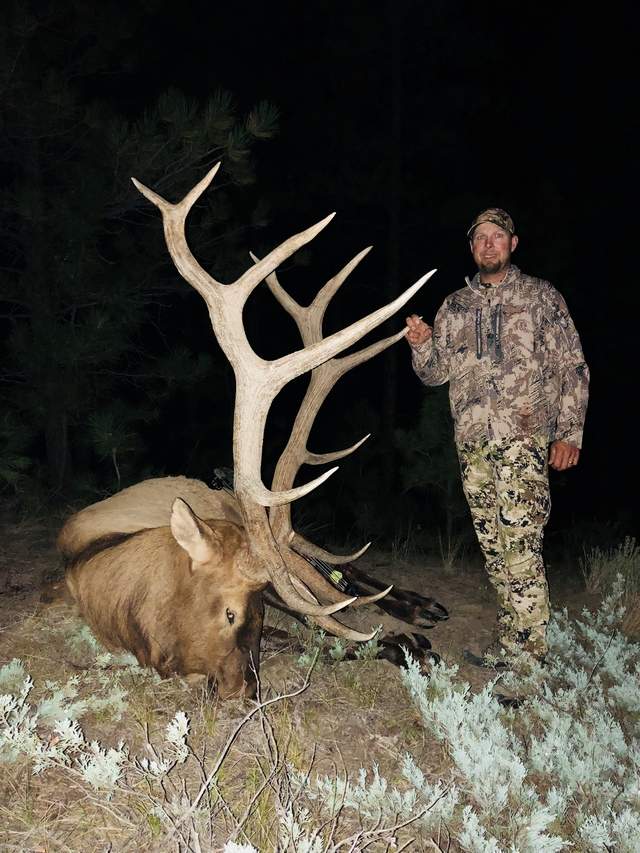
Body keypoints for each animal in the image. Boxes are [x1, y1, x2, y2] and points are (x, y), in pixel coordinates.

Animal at [57, 161, 442, 700]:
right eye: (233, 614)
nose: (244, 689)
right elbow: (312, 627)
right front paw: (398, 643)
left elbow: (319, 612)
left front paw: (402, 641)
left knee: (331, 566)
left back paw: (420, 605)